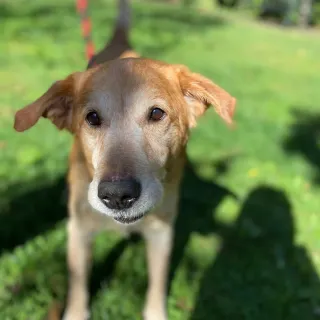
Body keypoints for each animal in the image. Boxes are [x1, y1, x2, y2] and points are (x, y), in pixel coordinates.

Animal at [13, 0, 235, 320]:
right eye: (92, 118)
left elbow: (157, 282)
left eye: (156, 113)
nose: (117, 195)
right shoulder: (79, 232)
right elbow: (78, 283)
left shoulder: (162, 233)